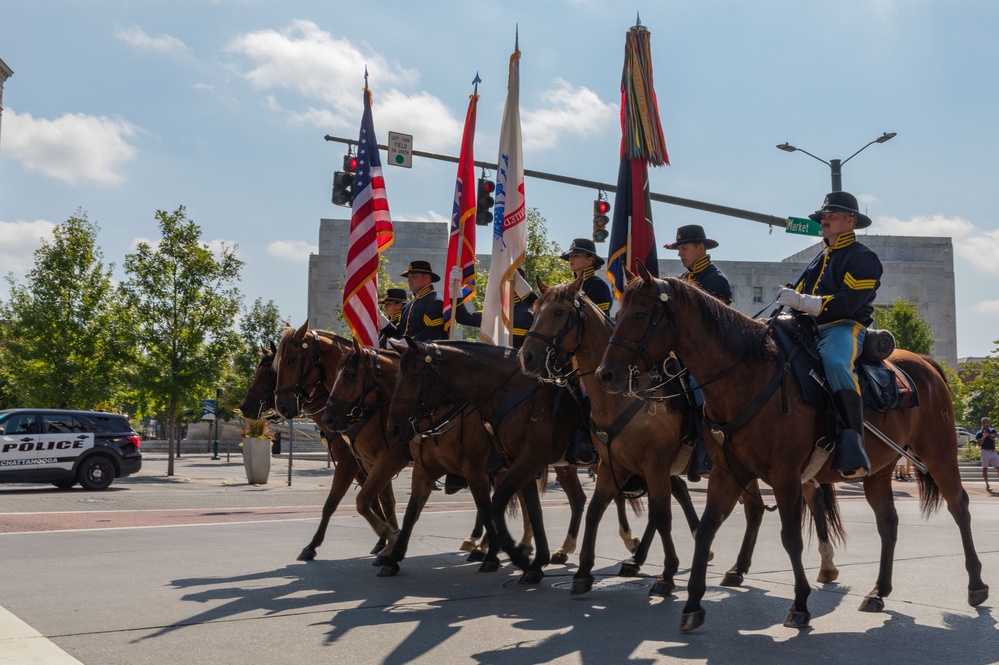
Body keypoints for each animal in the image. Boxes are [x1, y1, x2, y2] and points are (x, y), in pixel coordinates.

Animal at [240, 334, 396, 556]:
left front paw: (312, 545)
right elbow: (375, 500)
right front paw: (384, 539)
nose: (244, 406)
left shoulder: (352, 462)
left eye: (271, 372)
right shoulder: (360, 463)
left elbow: (335, 502)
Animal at [524, 274, 844, 596]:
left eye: (558, 312)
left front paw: (666, 572)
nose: (527, 356)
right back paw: (739, 568)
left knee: (811, 498)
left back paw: (826, 563)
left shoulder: (655, 465)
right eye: (535, 311)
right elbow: (598, 510)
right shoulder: (616, 465)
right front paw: (585, 571)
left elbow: (661, 515)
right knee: (758, 508)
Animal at [596, 264, 988, 628]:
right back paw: (878, 592)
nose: (606, 375)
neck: (746, 376)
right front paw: (693, 603)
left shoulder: (784, 476)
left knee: (959, 506)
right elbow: (706, 529)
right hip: (878, 470)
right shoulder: (726, 472)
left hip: (939, 454)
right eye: (618, 312)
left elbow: (790, 537)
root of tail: (927, 363)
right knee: (888, 521)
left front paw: (799, 604)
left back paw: (976, 585)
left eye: (640, 314)